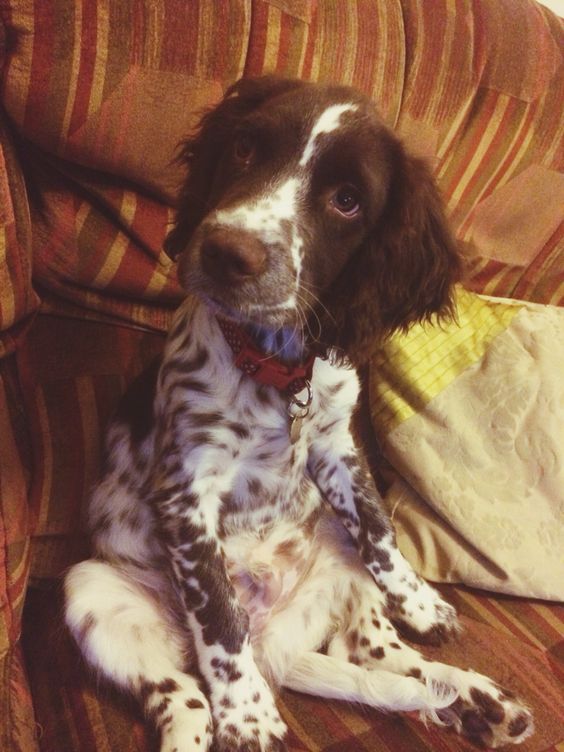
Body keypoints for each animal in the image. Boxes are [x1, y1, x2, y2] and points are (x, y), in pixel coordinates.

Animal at [65, 78, 532, 752]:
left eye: (347, 200)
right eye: (243, 148)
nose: (227, 253)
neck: (277, 368)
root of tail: (274, 643)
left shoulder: (338, 450)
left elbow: (381, 536)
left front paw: (421, 604)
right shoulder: (188, 488)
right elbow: (218, 614)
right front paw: (247, 714)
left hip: (336, 555)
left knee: (372, 650)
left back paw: (478, 699)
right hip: (92, 593)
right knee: (186, 700)